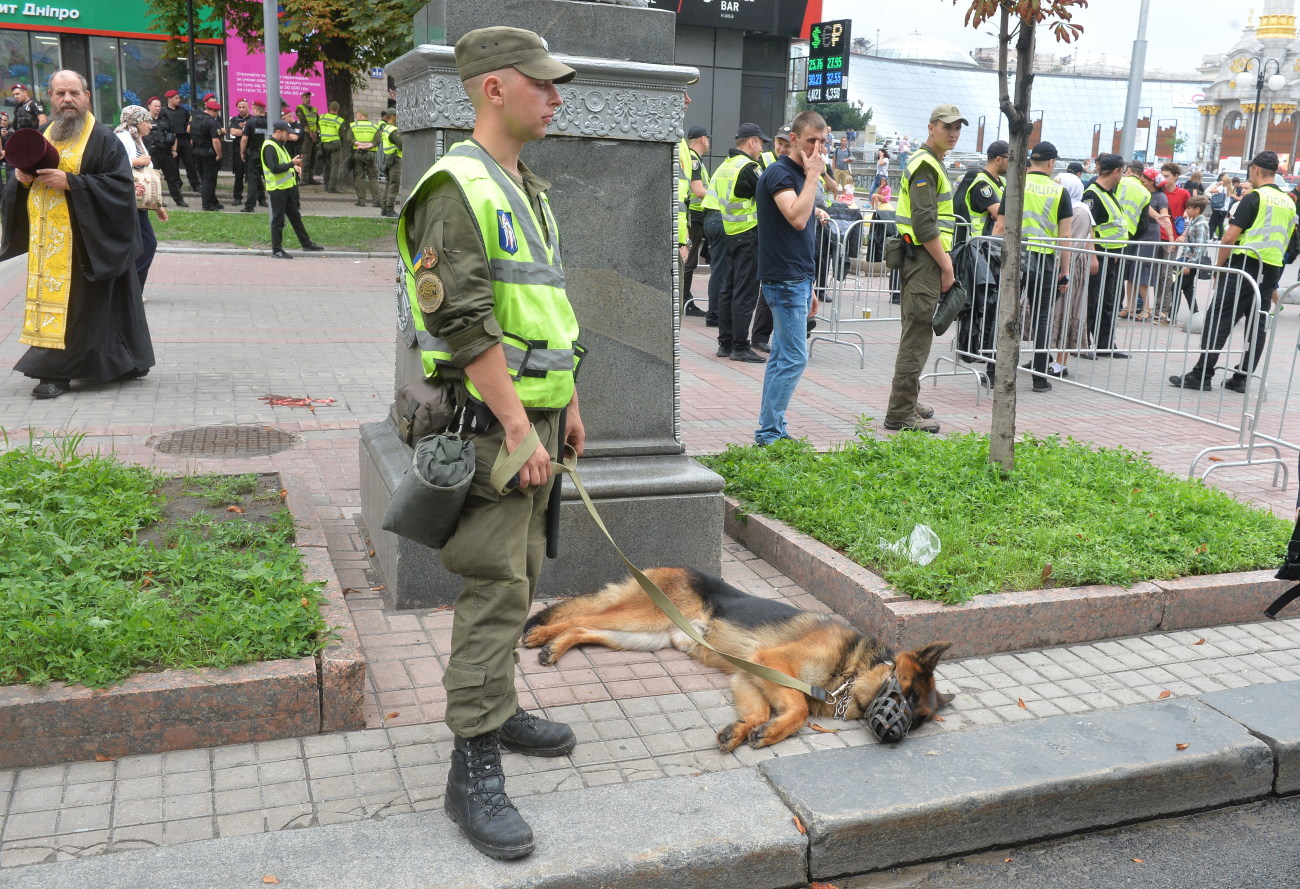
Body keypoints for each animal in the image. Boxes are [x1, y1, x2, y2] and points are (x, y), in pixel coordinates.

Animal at [520, 569, 956, 748]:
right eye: (904, 696)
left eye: (918, 722)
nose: (895, 735)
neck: (854, 666)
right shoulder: (773, 663)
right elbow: (798, 709)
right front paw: (771, 732)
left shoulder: (749, 678)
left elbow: (760, 711)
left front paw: (745, 730)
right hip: (643, 618)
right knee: (577, 617)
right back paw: (540, 634)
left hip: (643, 638)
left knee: (583, 630)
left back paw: (554, 647)